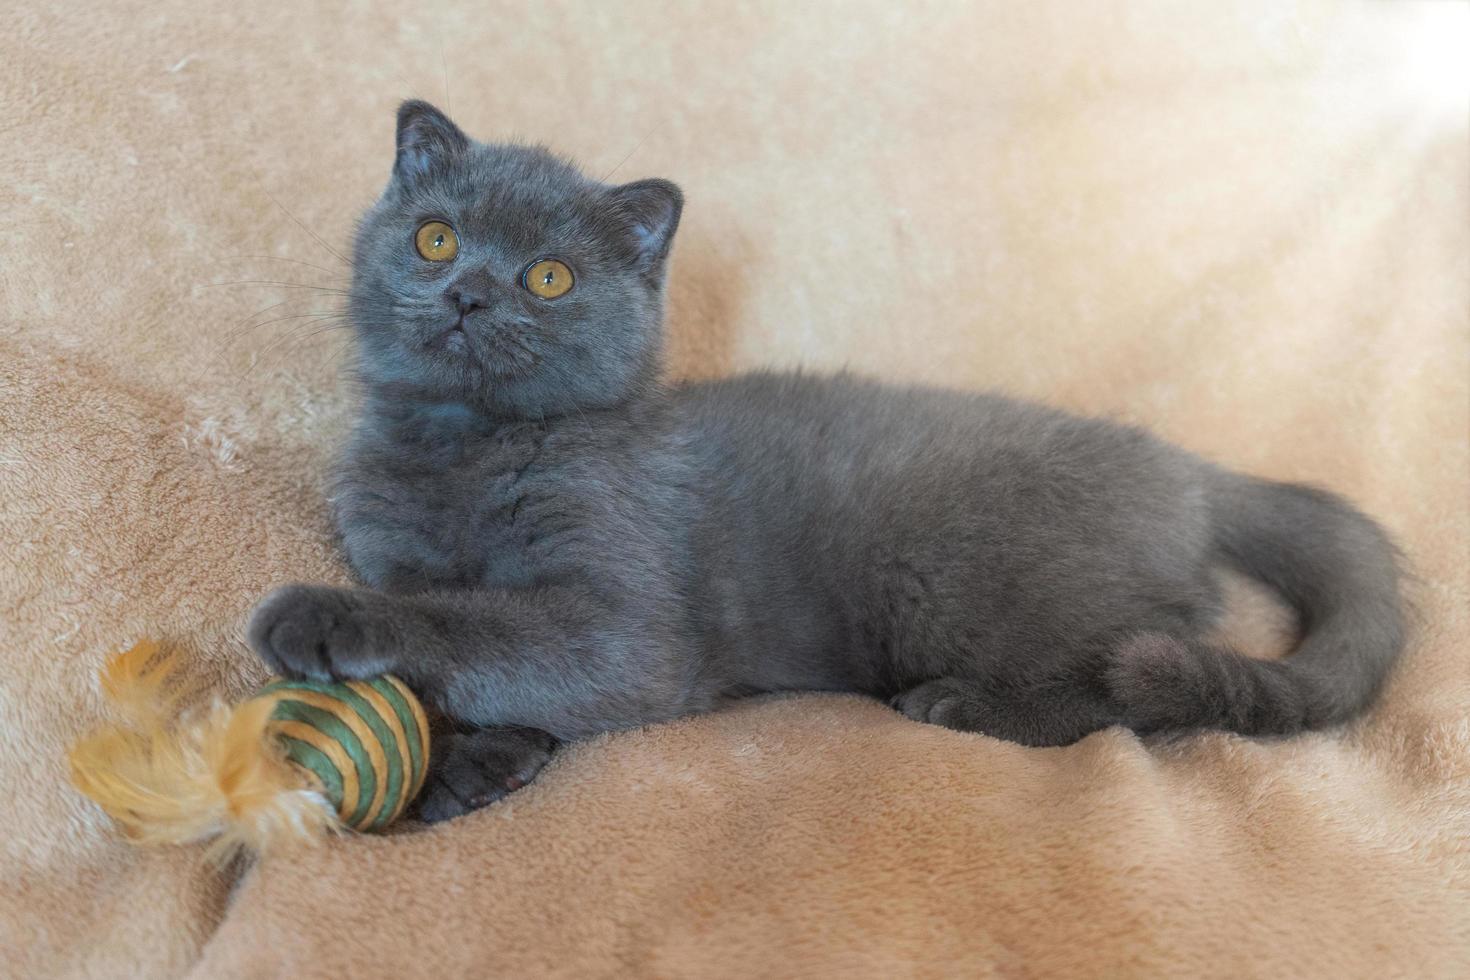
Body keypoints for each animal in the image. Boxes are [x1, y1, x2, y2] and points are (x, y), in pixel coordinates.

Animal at [246, 101, 1405, 822]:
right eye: (437, 239)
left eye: (549, 275)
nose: (469, 293)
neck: (464, 447)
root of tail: (1185, 463)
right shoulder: (392, 544)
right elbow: (465, 631)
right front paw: (470, 763)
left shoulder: (627, 622)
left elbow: (481, 623)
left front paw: (324, 621)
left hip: (954, 579)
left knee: (1136, 691)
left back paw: (965, 706)